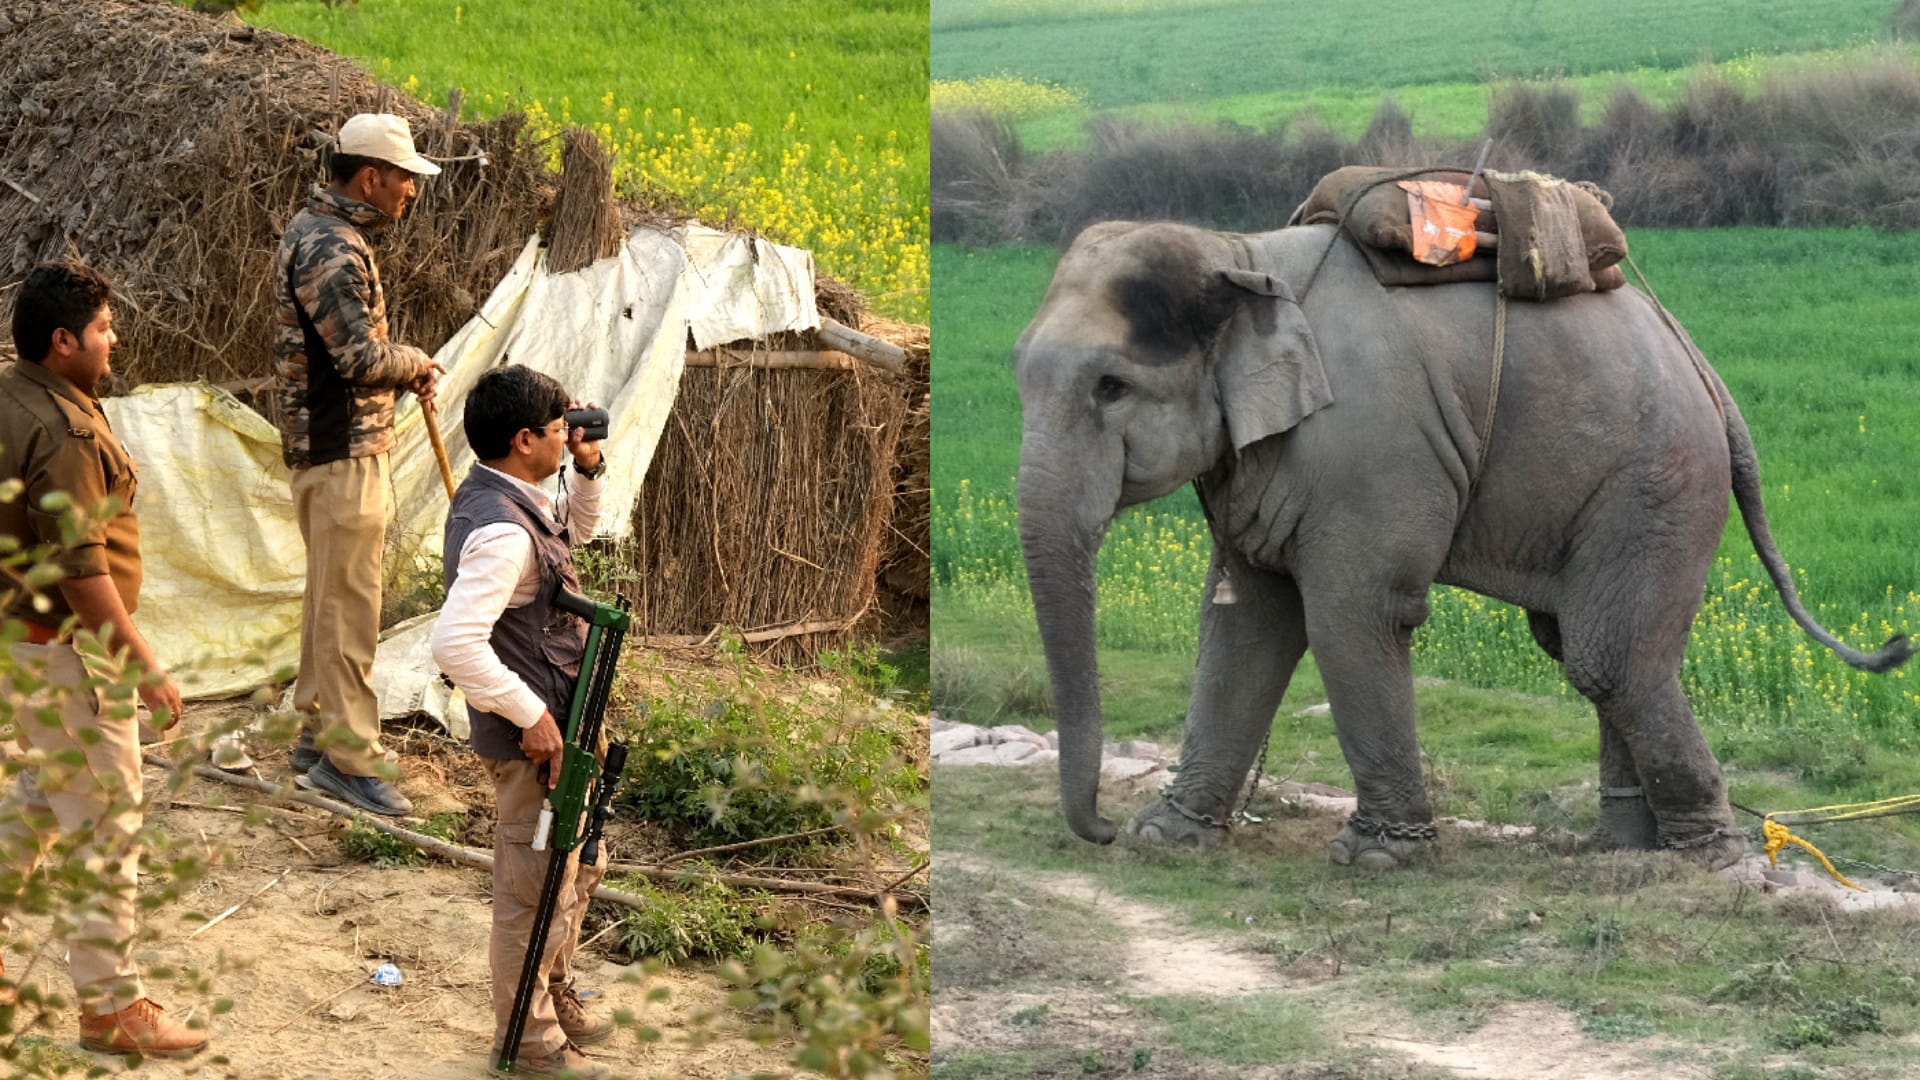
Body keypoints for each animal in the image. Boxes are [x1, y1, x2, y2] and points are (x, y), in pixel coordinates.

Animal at [1013, 219, 1914, 870]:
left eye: (1110, 387)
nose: (1099, 831)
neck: (1235, 256)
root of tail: (1710, 377)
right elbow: (1246, 620)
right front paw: (1166, 839)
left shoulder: (1369, 448)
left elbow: (1350, 614)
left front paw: (1377, 860)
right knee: (1589, 651)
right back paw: (1621, 853)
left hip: (1659, 479)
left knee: (1608, 661)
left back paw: (1699, 862)